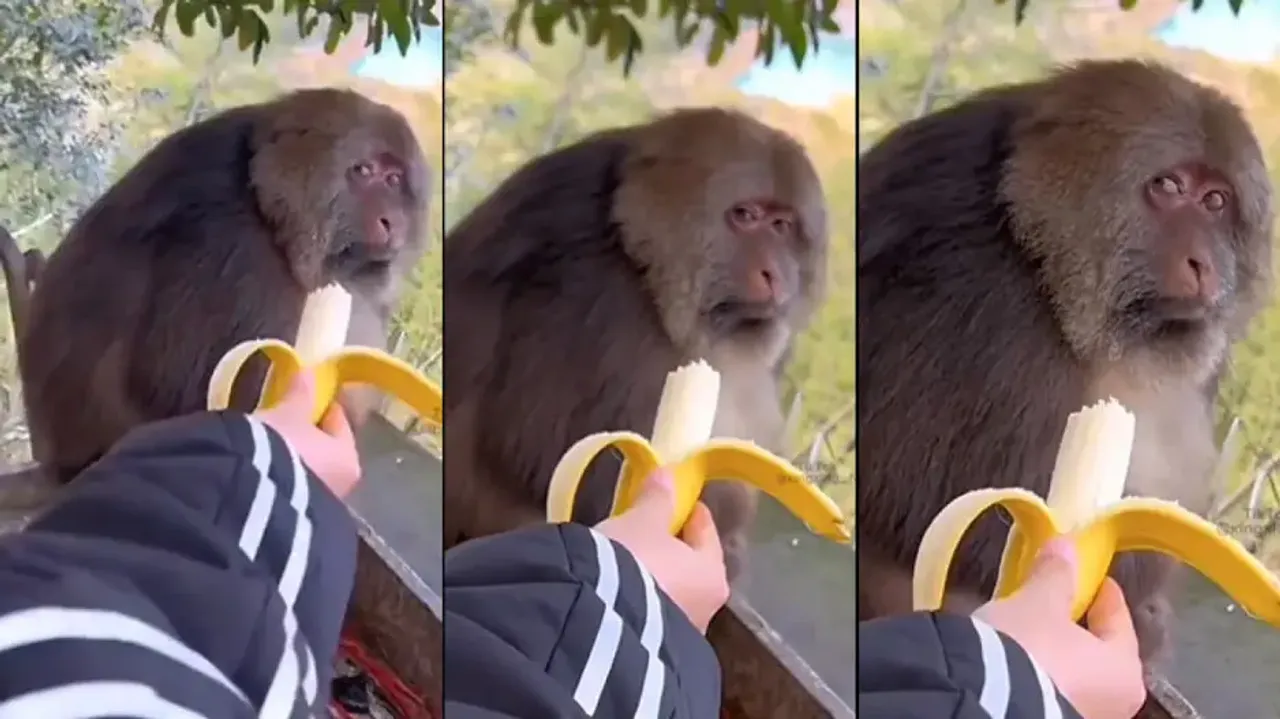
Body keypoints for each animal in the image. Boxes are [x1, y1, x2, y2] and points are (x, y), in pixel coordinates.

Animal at [4, 87, 430, 490]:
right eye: (364, 170)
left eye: (394, 180)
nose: (391, 222)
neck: (265, 200)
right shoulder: (236, 242)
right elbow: (189, 385)